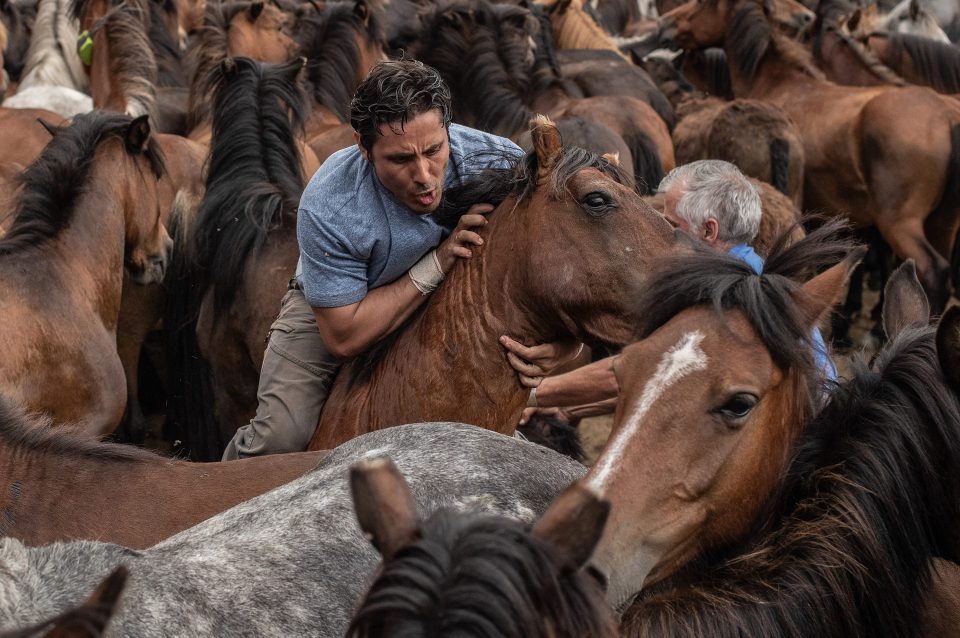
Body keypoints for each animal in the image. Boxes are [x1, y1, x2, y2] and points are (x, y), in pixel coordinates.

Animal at [664, 0, 960, 312]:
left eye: (703, 4)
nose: (666, 26)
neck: (777, 82)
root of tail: (947, 117)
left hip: (899, 222)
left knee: (932, 270)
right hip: (942, 223)